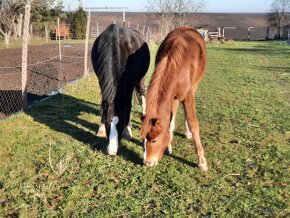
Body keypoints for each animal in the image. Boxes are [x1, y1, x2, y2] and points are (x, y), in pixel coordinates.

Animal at [91, 23, 151, 155]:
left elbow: (127, 105)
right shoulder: (101, 79)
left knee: (142, 93)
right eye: (108, 123)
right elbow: (104, 103)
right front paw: (101, 129)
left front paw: (127, 131)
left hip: (140, 79)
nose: (112, 151)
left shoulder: (129, 82)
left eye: (121, 124)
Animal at [141, 26, 207, 170]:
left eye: (154, 140)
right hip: (175, 97)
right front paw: (169, 146)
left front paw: (202, 161)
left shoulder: (187, 96)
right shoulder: (171, 97)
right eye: (143, 139)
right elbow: (169, 122)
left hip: (193, 87)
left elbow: (193, 124)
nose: (147, 163)